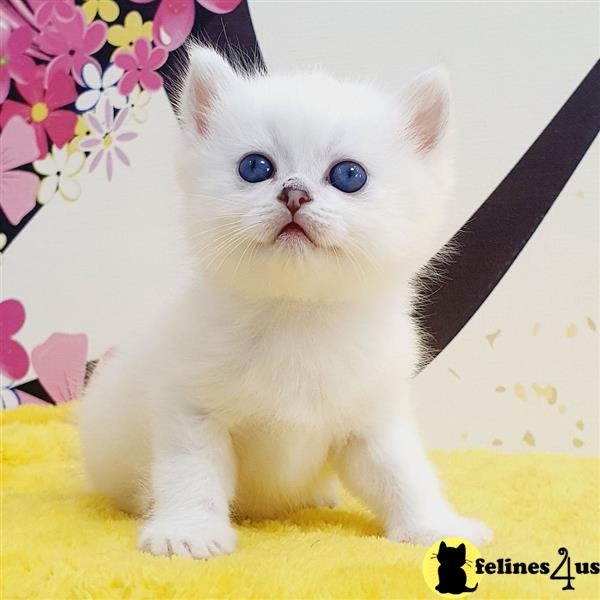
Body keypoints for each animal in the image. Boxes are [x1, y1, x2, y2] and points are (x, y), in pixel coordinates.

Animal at [79, 45, 492, 556]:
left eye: (349, 175)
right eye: (255, 167)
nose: (293, 193)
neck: (297, 313)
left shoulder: (373, 418)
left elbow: (402, 475)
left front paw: (435, 525)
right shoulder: (192, 411)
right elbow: (191, 473)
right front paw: (189, 533)